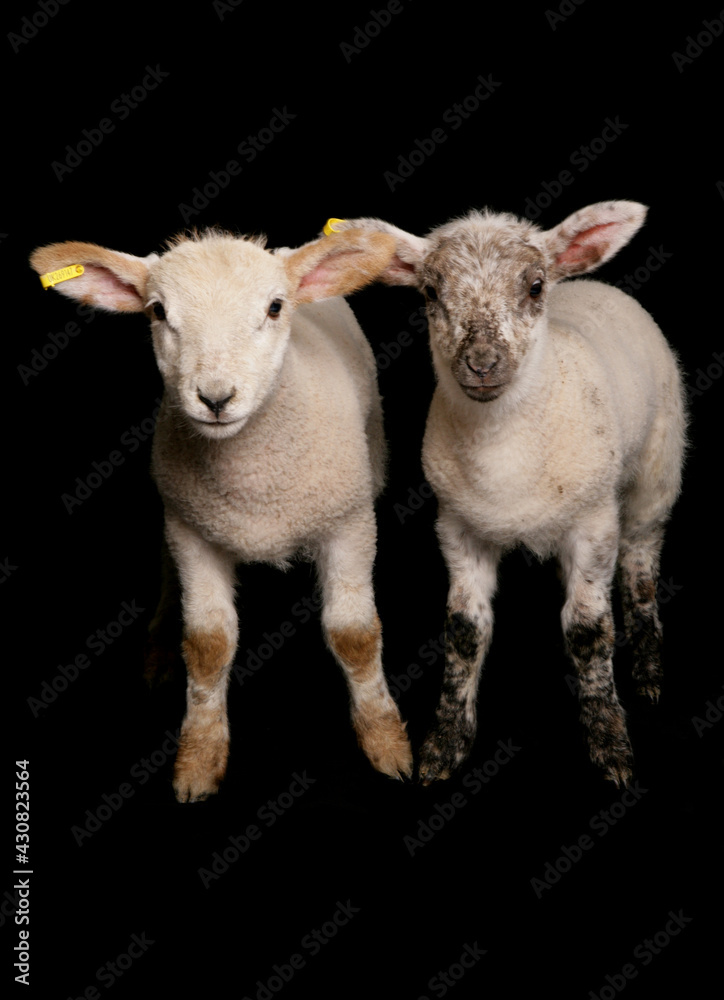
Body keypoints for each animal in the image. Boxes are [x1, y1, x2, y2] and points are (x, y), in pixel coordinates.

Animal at [30, 226, 413, 801]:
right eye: (158, 311)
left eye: (275, 307)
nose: (214, 398)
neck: (254, 486)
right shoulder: (193, 531)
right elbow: (208, 645)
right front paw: (199, 757)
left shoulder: (348, 523)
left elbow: (354, 635)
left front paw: (384, 739)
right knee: (166, 573)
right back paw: (159, 648)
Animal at [330, 201, 686, 787]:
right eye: (431, 292)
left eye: (535, 285)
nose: (481, 361)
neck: (504, 452)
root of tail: (599, 285)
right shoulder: (457, 527)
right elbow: (464, 631)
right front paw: (445, 744)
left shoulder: (594, 524)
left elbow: (588, 631)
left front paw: (609, 741)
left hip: (657, 471)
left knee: (640, 566)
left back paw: (649, 668)